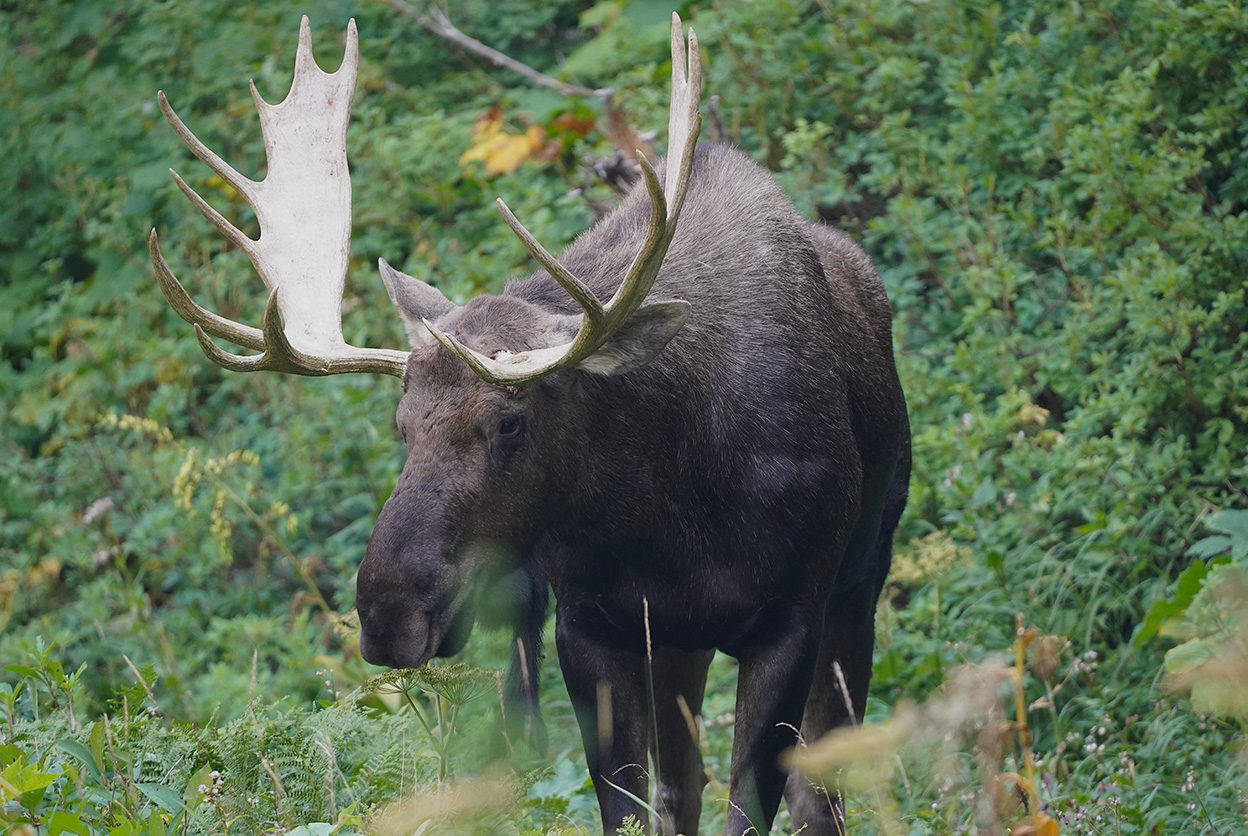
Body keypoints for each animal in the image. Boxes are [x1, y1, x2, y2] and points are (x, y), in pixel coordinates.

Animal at [149, 15, 910, 835]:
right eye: (402, 424)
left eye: (510, 422)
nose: (387, 610)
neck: (675, 509)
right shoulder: (592, 626)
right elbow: (633, 806)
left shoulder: (793, 616)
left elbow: (768, 801)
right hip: (678, 645)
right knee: (682, 785)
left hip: (861, 578)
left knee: (822, 788)